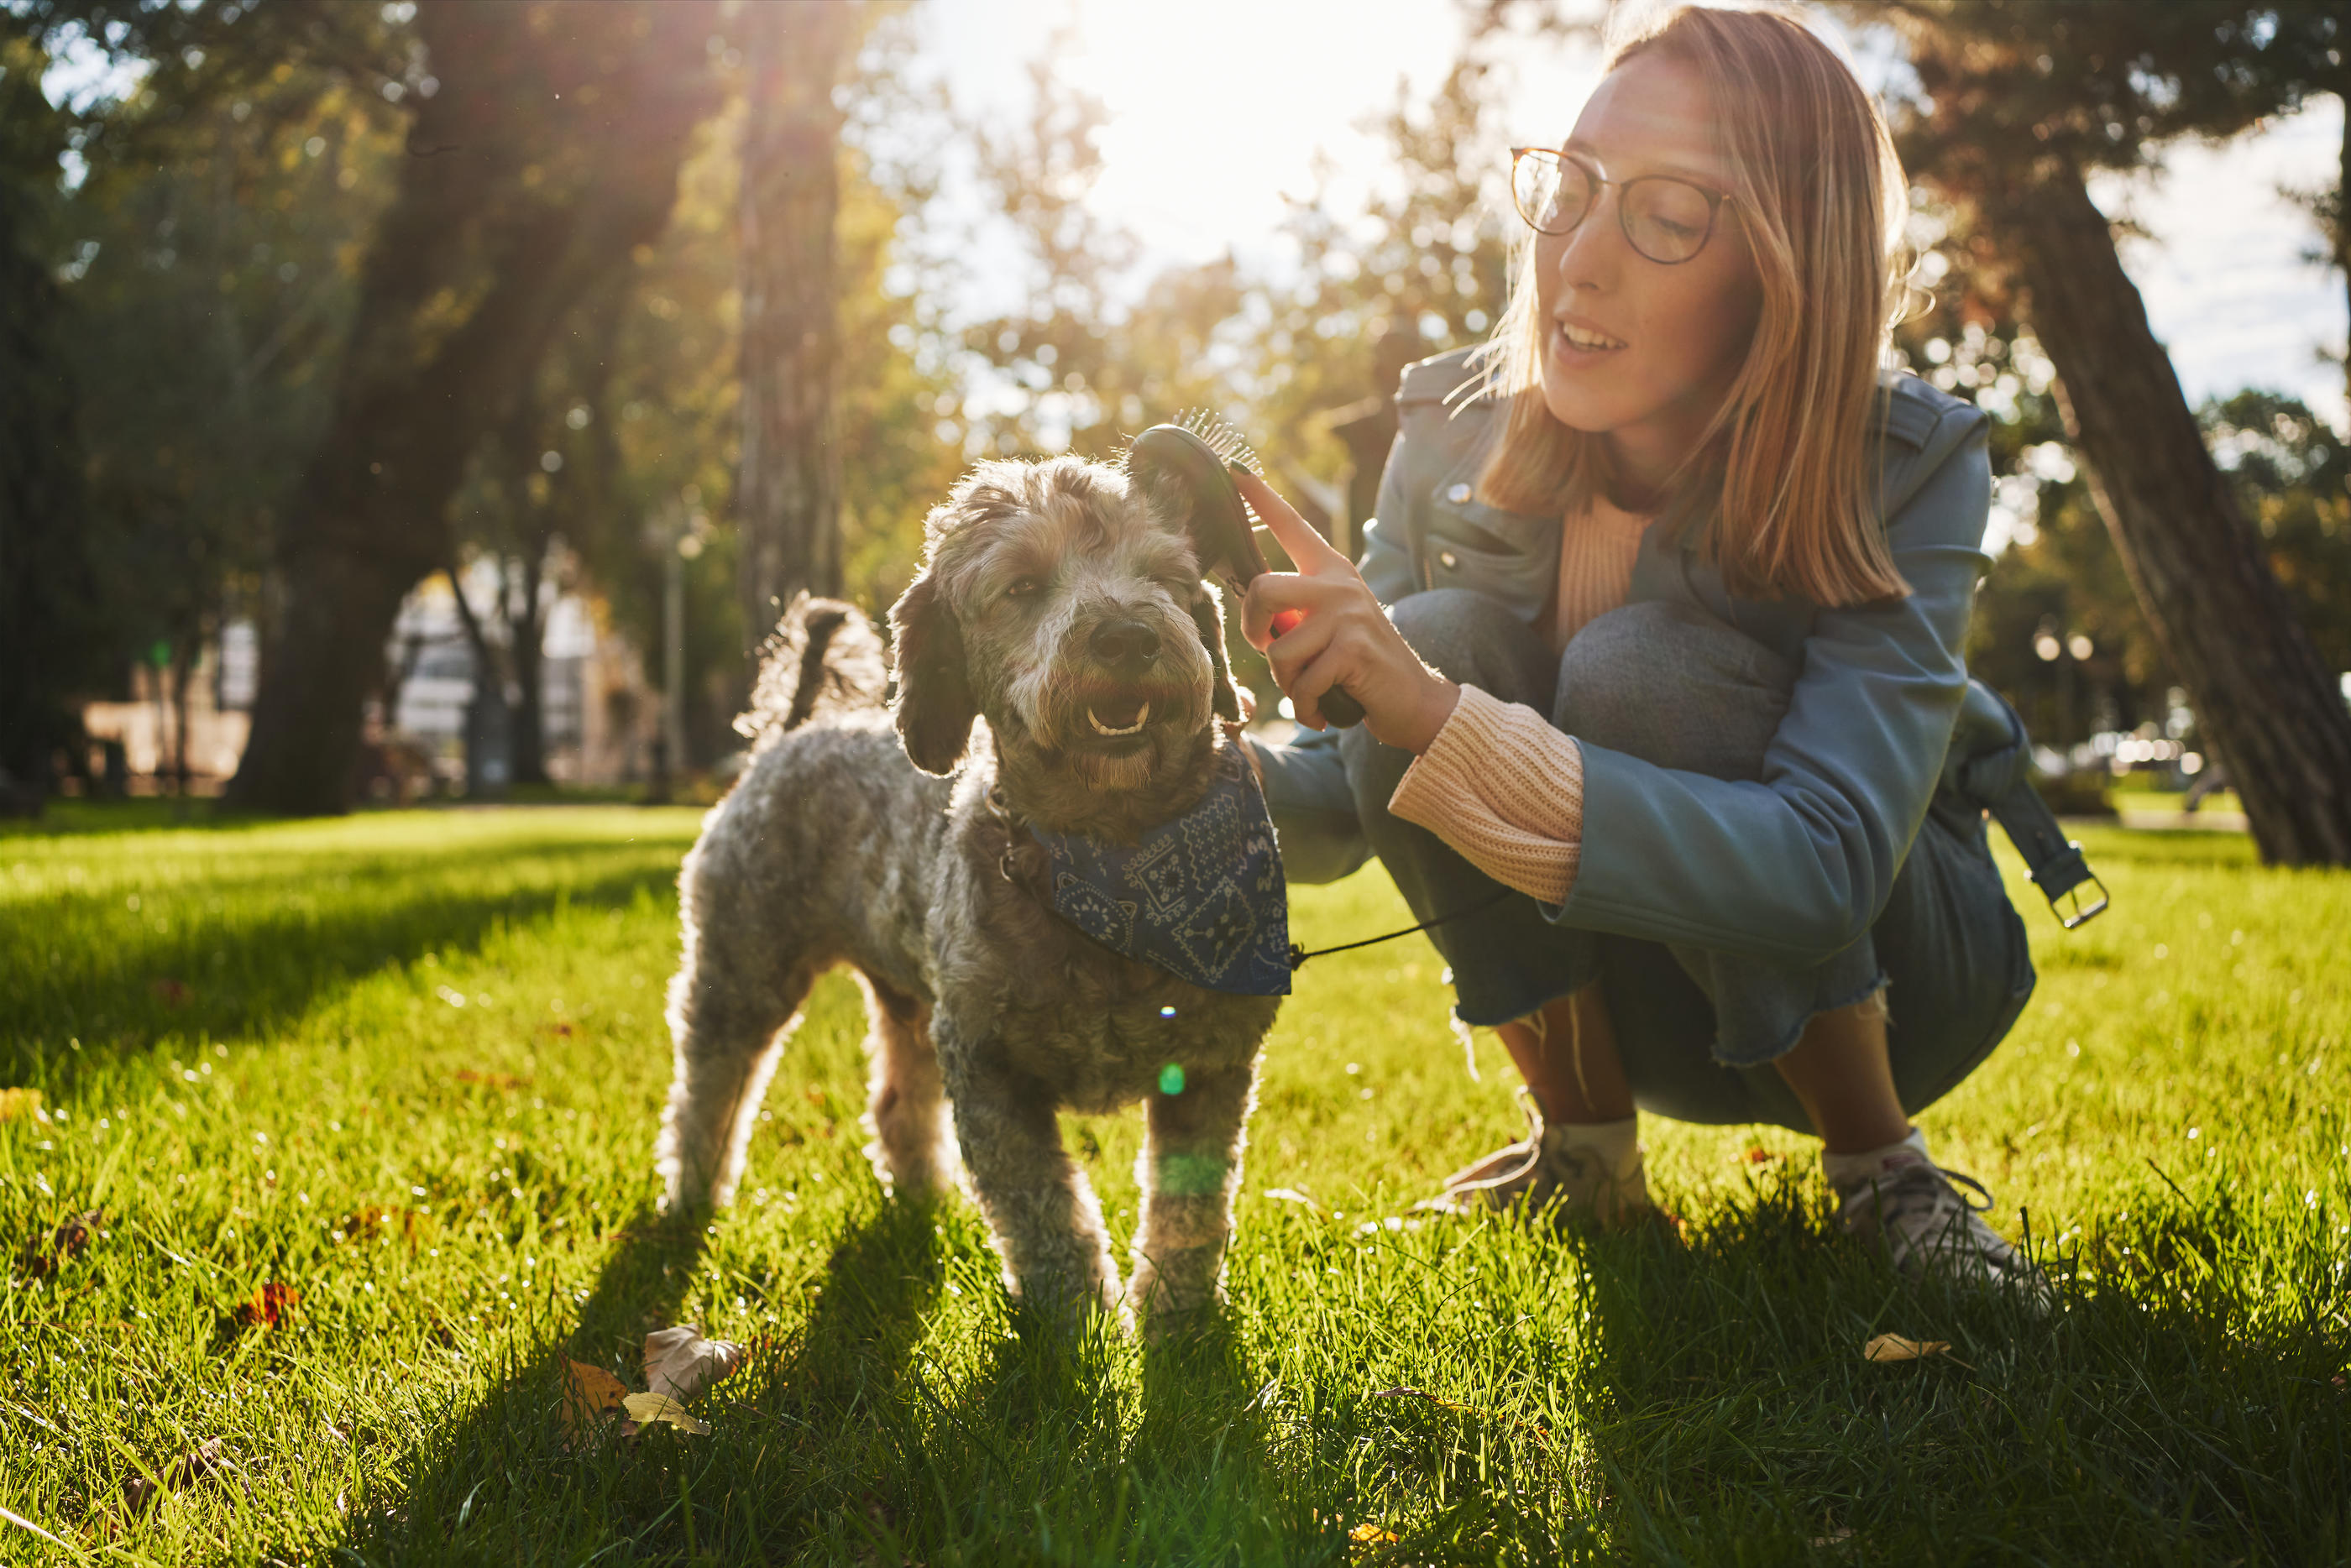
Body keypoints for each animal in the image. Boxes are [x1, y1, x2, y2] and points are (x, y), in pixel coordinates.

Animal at [653, 456, 1288, 1335]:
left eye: (1167, 577)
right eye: (1022, 586)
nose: (1129, 635)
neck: (1114, 862)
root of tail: (791, 735)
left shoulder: (1210, 1065)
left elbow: (1190, 1209)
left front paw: (1177, 1317)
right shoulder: (987, 1063)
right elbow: (1042, 1205)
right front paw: (1076, 1323)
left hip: (909, 997)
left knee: (895, 1101)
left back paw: (921, 1196)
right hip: (743, 971)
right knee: (709, 1085)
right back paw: (692, 1195)